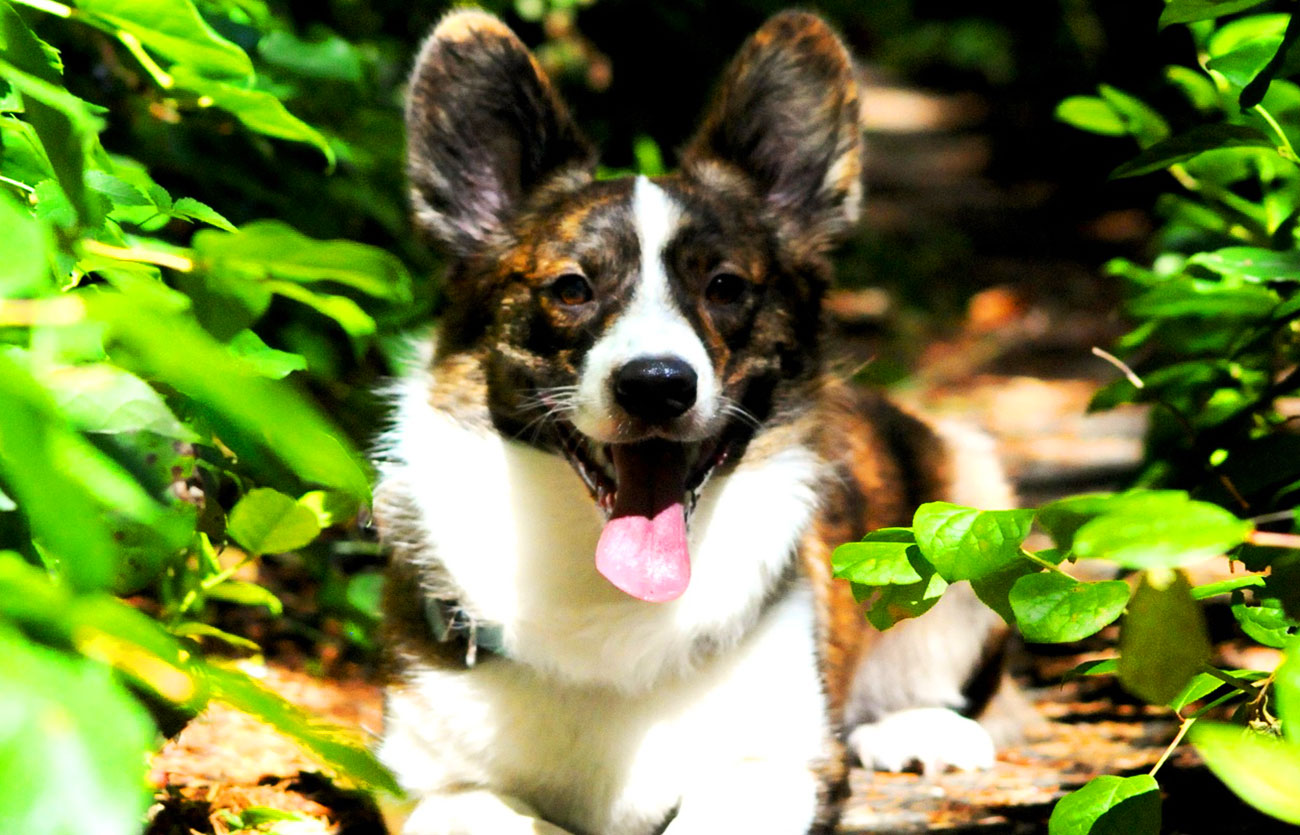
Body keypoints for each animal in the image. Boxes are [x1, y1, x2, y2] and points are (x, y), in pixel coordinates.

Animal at [374, 8, 1013, 832]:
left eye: (726, 286)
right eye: (572, 288)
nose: (657, 386)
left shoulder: (772, 767)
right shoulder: (431, 786)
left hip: (971, 487)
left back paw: (916, 725)